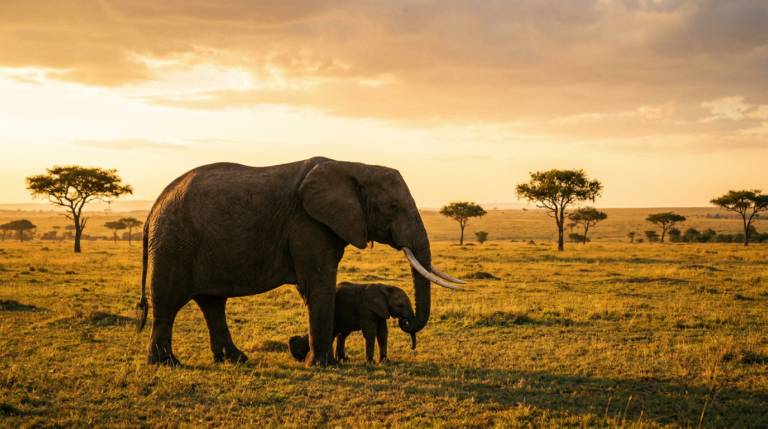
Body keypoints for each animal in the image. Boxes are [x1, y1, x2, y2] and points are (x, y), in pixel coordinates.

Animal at [288, 282, 417, 364]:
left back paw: (343, 359)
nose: (402, 319)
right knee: (333, 333)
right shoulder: (365, 309)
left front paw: (385, 362)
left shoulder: (381, 310)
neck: (385, 288)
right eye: (400, 305)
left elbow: (383, 333)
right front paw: (371, 363)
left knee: (341, 334)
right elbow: (370, 333)